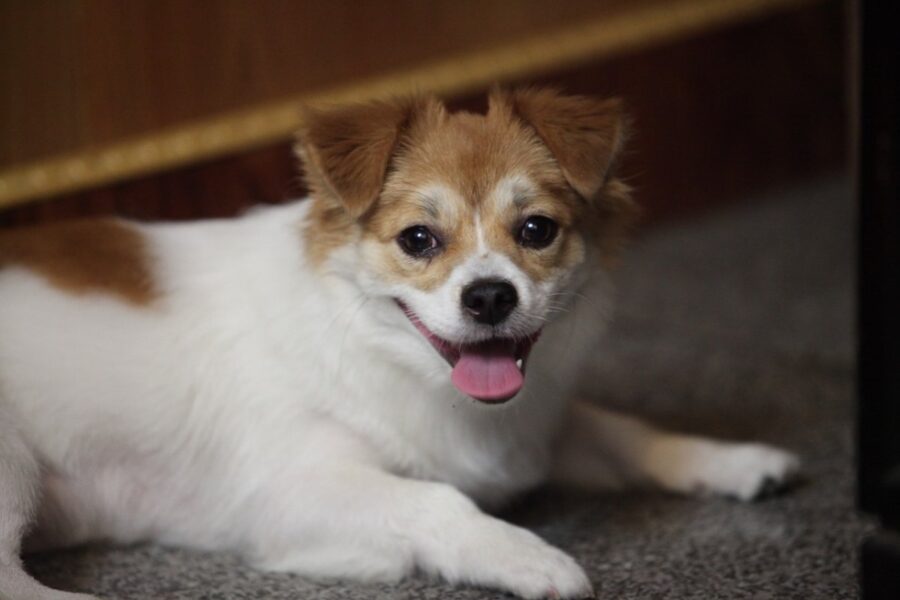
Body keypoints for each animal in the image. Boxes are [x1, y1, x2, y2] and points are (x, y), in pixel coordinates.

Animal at [1, 86, 800, 596]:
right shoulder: (293, 492)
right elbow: (437, 501)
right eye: (418, 239)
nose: (490, 296)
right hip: (14, 468)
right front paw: (528, 556)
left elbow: (628, 432)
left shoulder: (537, 430)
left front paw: (732, 461)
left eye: (537, 230)